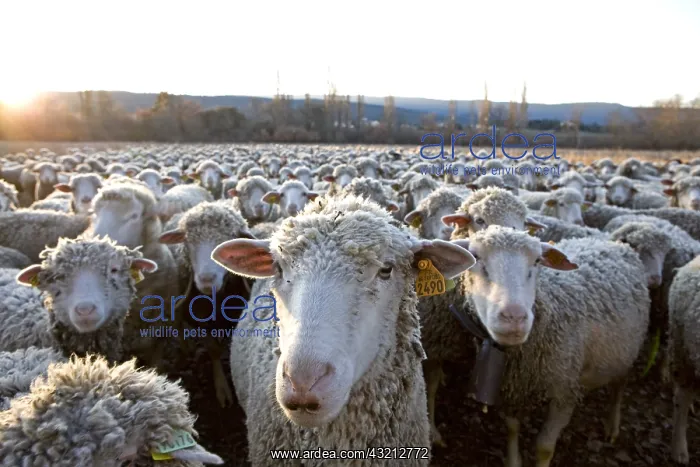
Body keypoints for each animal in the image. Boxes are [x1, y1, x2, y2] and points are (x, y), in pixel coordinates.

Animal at [158, 201, 256, 407]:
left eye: (229, 242)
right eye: (188, 241)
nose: (207, 280)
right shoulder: (201, 318)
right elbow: (213, 349)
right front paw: (222, 388)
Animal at [458, 225, 650, 467]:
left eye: (537, 260)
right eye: (475, 257)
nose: (514, 317)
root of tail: (613, 241)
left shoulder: (565, 391)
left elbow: (544, 448)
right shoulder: (513, 387)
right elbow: (512, 427)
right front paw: (514, 460)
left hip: (627, 351)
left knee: (620, 386)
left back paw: (612, 425)